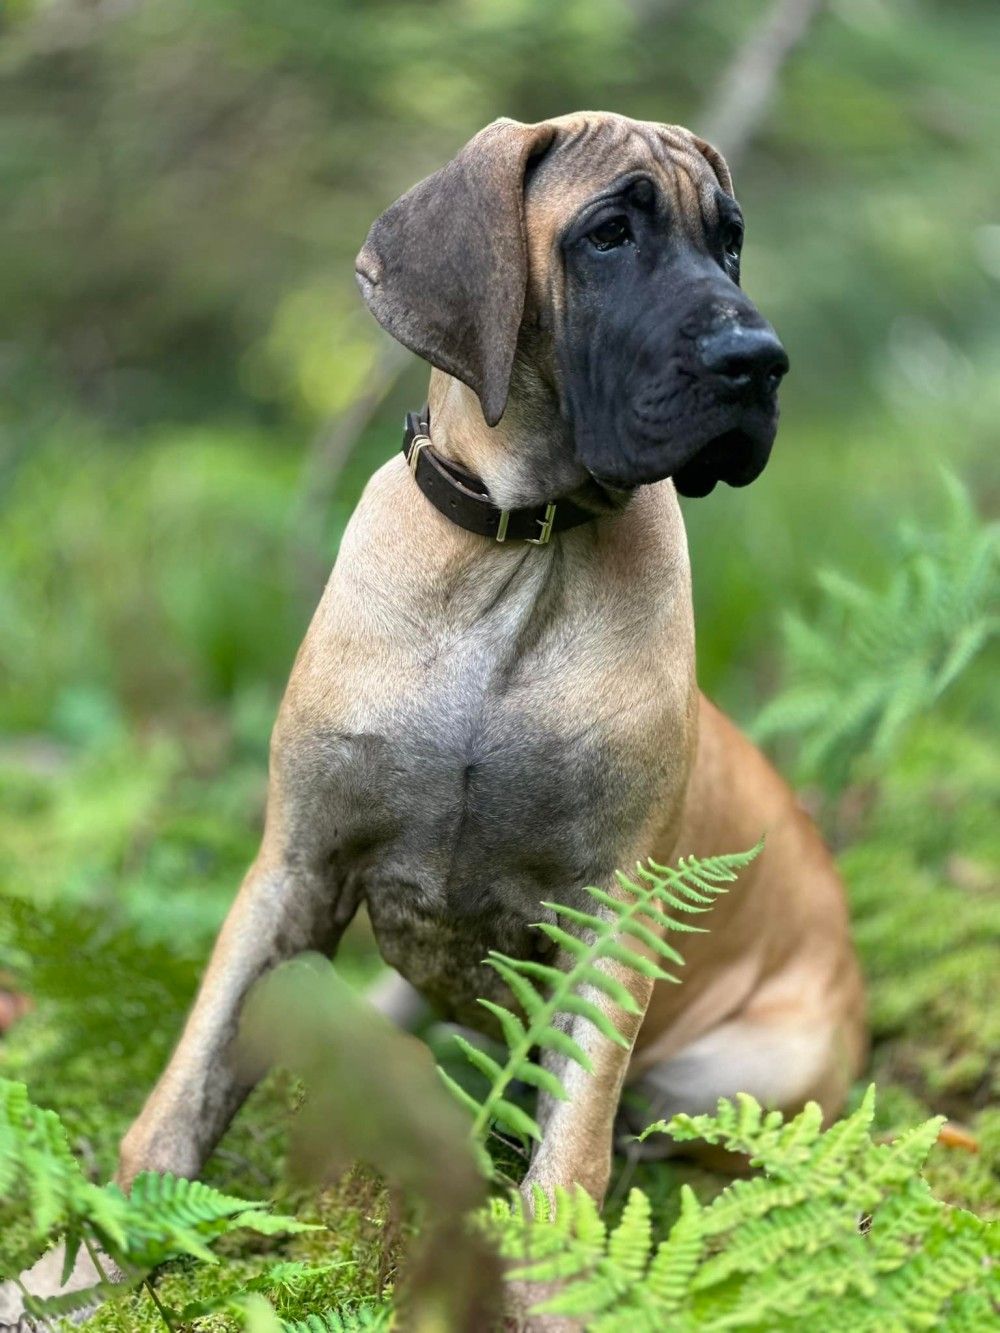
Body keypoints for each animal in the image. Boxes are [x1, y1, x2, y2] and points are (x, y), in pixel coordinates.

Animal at [1, 110, 865, 1327]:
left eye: (729, 241)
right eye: (609, 234)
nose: (760, 360)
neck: (520, 545)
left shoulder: (612, 915)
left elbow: (570, 1153)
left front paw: (559, 1294)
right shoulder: (296, 867)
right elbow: (187, 1083)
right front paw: (88, 1263)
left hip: (749, 1067)